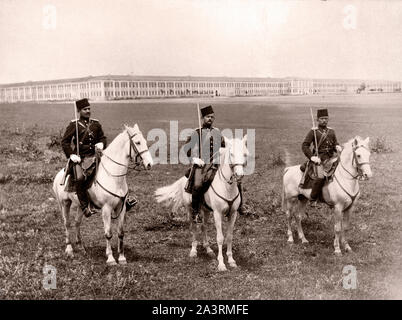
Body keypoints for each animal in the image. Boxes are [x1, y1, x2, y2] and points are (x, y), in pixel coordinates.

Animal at [52, 124, 153, 264]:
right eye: (137, 142)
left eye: (144, 141)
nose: (149, 164)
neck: (114, 176)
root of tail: (59, 175)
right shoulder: (106, 209)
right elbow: (108, 233)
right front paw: (110, 258)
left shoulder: (121, 208)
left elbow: (121, 232)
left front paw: (122, 257)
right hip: (64, 203)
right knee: (67, 223)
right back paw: (69, 250)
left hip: (80, 205)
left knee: (77, 222)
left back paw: (81, 247)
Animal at [154, 135, 248, 272]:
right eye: (231, 154)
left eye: (245, 154)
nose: (239, 175)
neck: (227, 187)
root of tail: (184, 180)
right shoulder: (217, 213)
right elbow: (220, 238)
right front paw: (221, 263)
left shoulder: (233, 213)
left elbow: (229, 236)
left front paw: (231, 260)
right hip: (190, 210)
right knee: (194, 228)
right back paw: (193, 251)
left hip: (206, 210)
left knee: (203, 226)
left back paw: (208, 249)